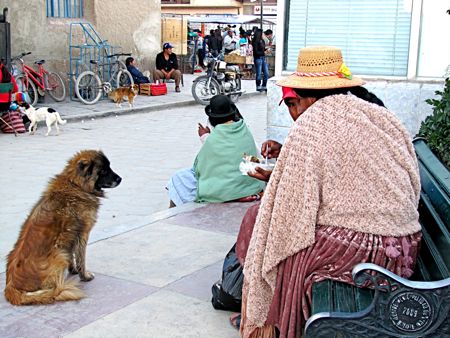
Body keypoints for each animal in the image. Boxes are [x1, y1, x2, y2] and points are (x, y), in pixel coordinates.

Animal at [4, 151, 123, 306]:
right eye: (103, 171)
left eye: (109, 167)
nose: (120, 179)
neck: (75, 184)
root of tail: (10, 286)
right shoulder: (82, 233)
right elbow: (81, 257)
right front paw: (84, 276)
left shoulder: (69, 235)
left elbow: (72, 254)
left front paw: (73, 270)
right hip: (58, 254)